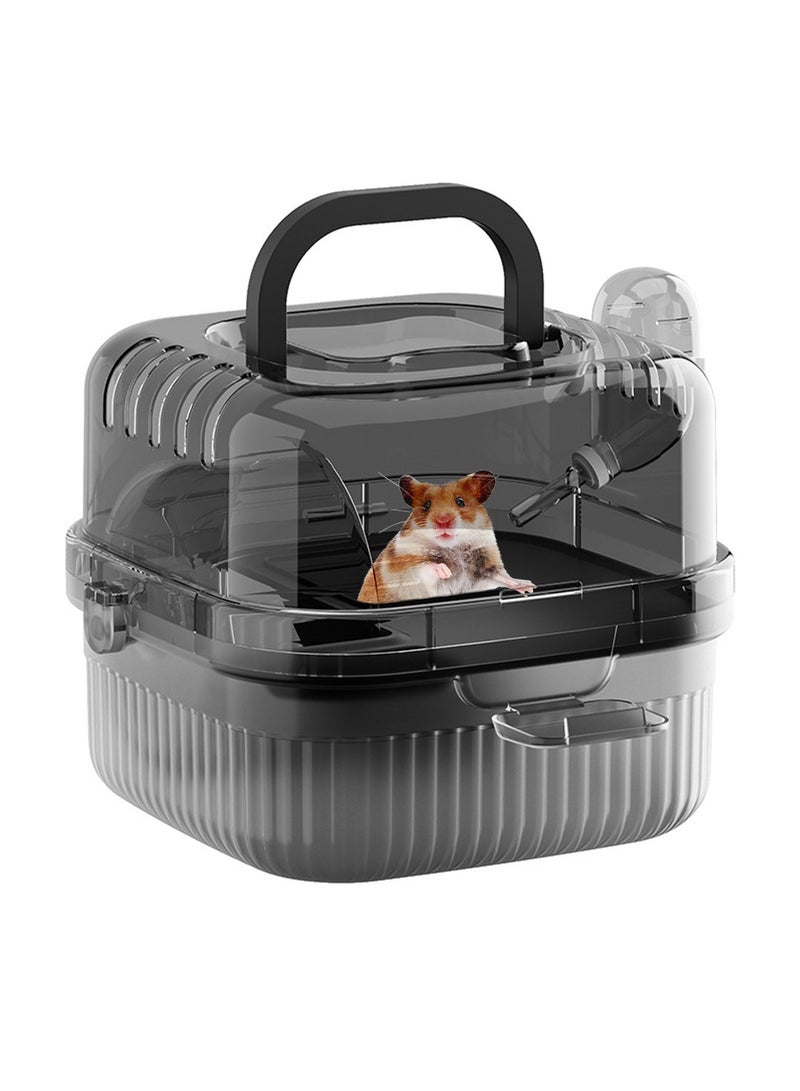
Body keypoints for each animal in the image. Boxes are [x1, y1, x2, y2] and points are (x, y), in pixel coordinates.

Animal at [358, 470, 536, 604]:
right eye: (427, 505)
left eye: (460, 501)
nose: (443, 521)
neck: (453, 548)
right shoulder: (405, 566)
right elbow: (425, 565)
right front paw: (446, 571)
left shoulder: (486, 567)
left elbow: (503, 577)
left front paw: (529, 586)